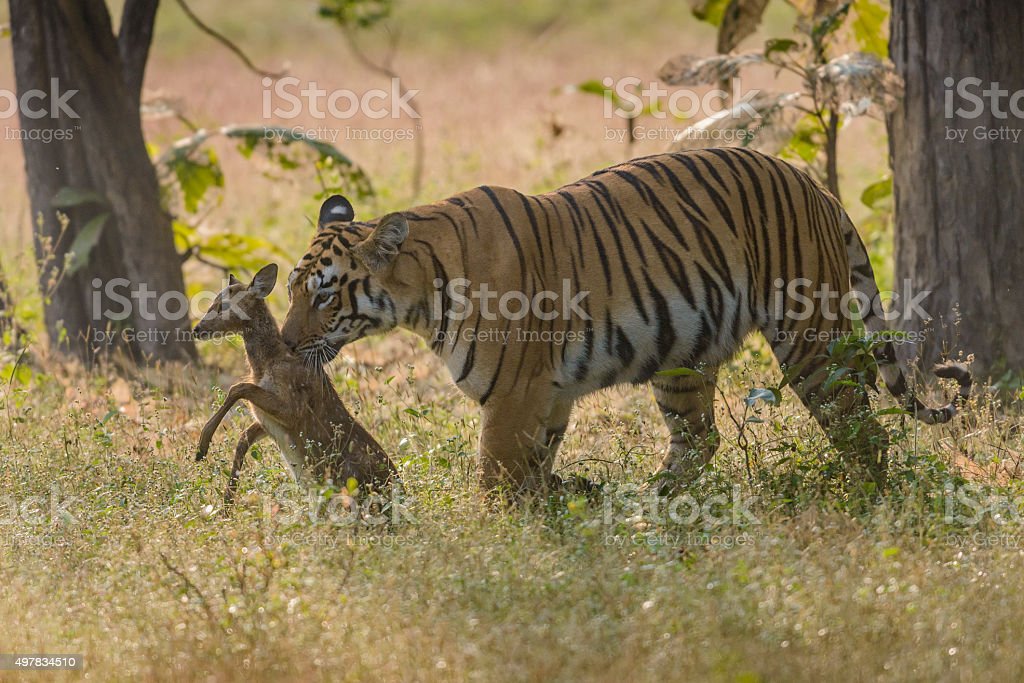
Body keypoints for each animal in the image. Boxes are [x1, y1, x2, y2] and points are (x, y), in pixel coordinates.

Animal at [192, 264, 395, 505]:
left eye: (222, 305)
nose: (197, 329)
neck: (266, 365)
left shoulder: (293, 405)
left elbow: (239, 388)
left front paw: (202, 446)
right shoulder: (266, 419)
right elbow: (243, 436)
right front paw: (227, 501)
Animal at [278, 148, 966, 491]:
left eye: (324, 295)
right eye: (290, 290)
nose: (283, 345)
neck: (419, 294)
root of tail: (809, 181)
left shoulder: (514, 396)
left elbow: (496, 482)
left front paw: (499, 555)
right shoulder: (546, 396)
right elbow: (534, 476)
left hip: (810, 338)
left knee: (862, 430)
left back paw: (872, 506)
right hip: (684, 354)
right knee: (700, 440)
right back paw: (653, 511)